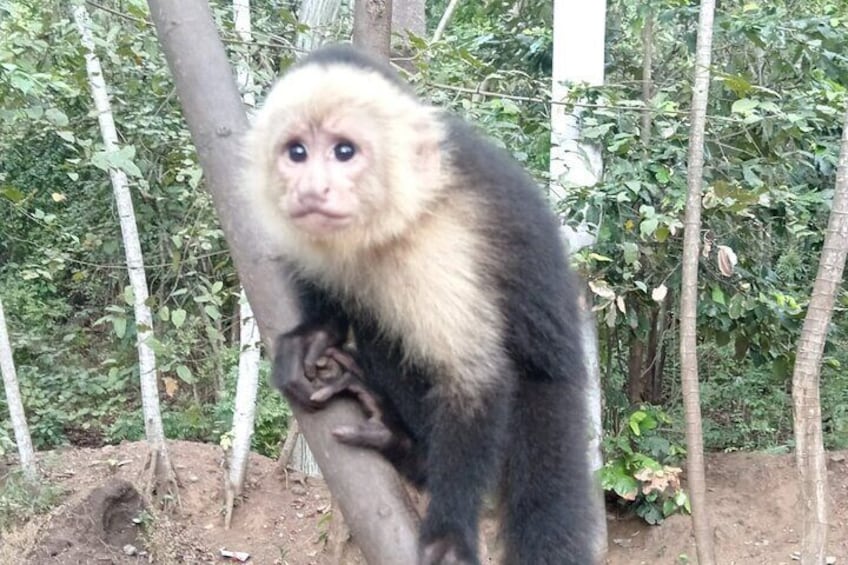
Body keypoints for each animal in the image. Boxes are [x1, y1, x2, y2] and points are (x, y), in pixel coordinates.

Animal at [242, 44, 600, 564]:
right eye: (297, 152)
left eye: (344, 151)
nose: (311, 189)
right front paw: (316, 332)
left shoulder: (439, 243)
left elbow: (475, 380)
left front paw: (449, 533)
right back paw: (402, 442)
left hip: (549, 399)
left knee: (546, 500)